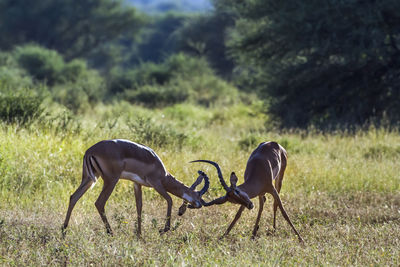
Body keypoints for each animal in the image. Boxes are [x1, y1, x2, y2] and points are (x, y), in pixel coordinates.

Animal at [61, 139, 209, 238]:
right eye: (198, 194)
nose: (199, 205)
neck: (163, 173)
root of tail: (89, 151)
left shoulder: (137, 184)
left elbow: (139, 206)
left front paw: (139, 235)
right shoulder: (156, 183)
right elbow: (169, 200)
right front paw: (163, 230)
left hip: (89, 179)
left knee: (73, 197)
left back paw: (63, 231)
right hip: (110, 180)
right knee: (99, 202)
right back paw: (111, 233)